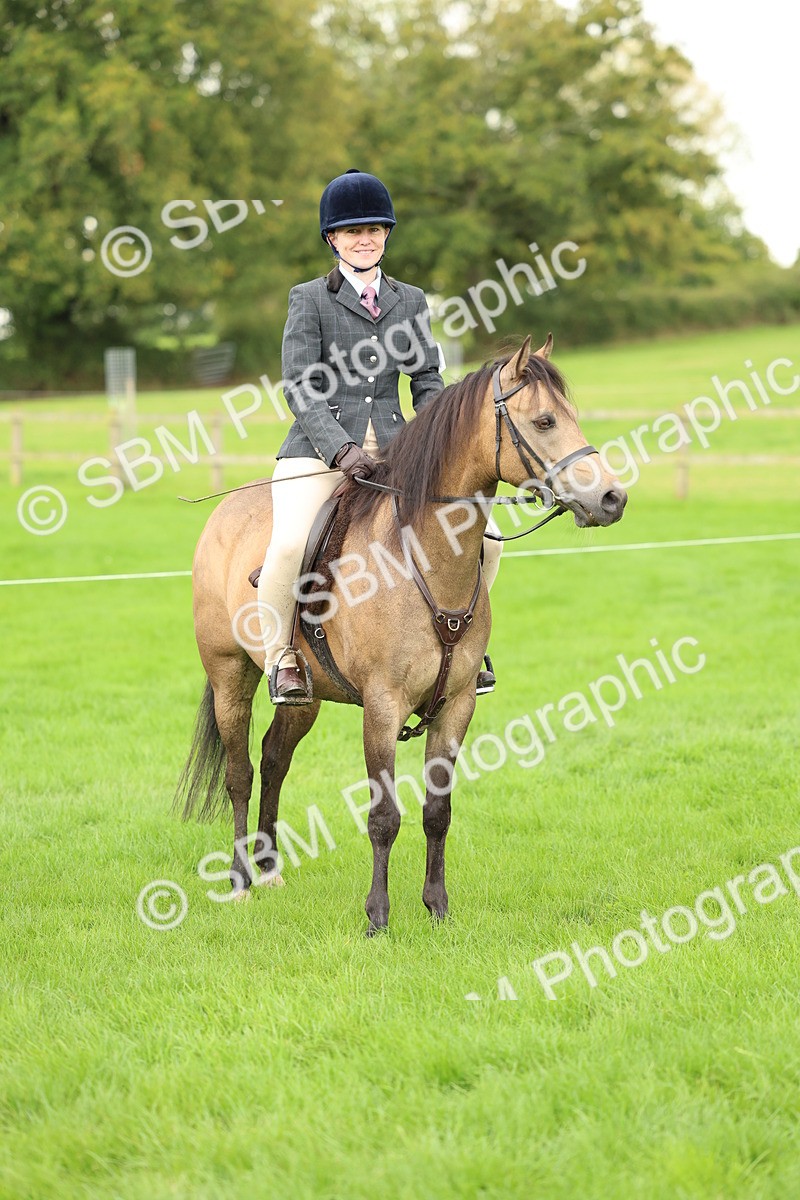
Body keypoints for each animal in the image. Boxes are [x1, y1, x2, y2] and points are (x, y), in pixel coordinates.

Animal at [174, 334, 627, 934]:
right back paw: (241, 880)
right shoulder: (382, 707)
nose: (612, 499)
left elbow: (438, 811)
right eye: (546, 421)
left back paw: (270, 870)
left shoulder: (457, 705)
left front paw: (437, 908)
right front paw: (378, 918)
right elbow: (383, 815)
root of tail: (225, 511)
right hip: (230, 677)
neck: (422, 559)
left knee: (274, 759)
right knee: (240, 773)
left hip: (304, 695)